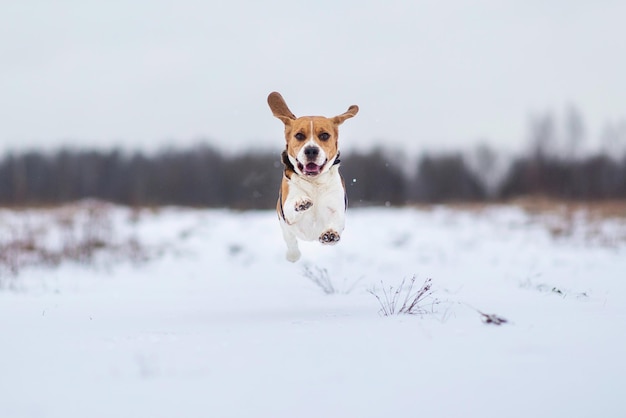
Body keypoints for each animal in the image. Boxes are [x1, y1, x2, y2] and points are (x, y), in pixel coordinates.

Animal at [266, 91, 358, 262]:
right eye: (299, 136)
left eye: (324, 135)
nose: (311, 150)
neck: (314, 181)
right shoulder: (287, 212)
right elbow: (291, 206)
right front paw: (301, 202)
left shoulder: (337, 207)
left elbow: (336, 218)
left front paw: (330, 234)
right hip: (284, 226)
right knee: (291, 241)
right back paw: (293, 255)